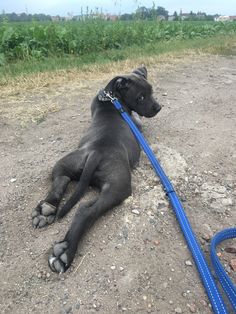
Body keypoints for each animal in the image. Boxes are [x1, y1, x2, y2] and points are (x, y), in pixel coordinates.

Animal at [31, 66, 160, 272]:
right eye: (141, 97)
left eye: (152, 91)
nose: (158, 107)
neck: (111, 99)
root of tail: (97, 152)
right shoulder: (137, 123)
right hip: (120, 187)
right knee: (86, 210)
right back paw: (66, 251)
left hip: (66, 163)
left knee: (62, 179)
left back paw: (46, 210)